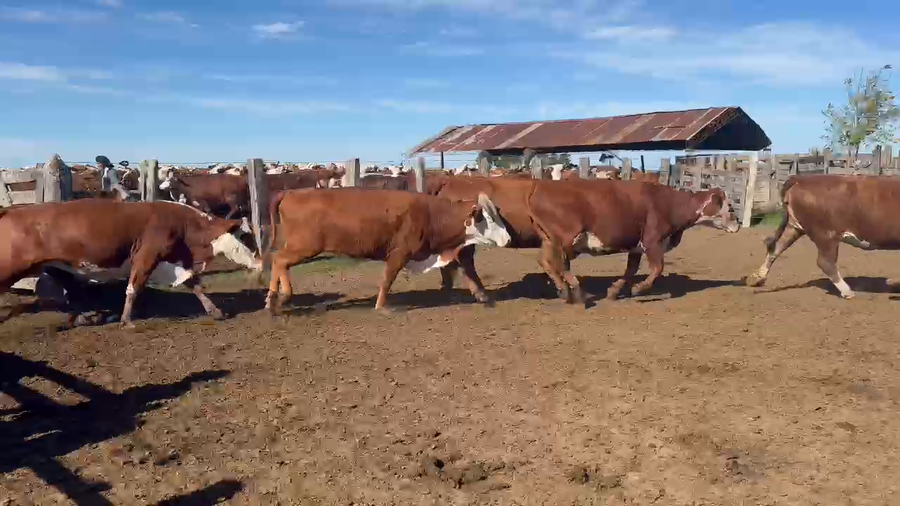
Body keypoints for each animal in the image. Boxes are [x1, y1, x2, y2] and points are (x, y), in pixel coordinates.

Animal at [0, 200, 262, 327]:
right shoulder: (146, 256)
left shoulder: (171, 261)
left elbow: (194, 284)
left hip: (56, 266)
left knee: (73, 293)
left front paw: (215, 311)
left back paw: (80, 318)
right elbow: (133, 288)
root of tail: (9, 211)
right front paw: (126, 321)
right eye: (245, 237)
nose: (260, 262)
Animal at [263, 188, 511, 315]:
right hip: (305, 246)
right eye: (488, 218)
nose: (508, 238)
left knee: (277, 260)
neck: (432, 215)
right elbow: (387, 279)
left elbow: (466, 270)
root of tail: (291, 193)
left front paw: (482, 295)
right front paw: (381, 306)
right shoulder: (399, 253)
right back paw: (282, 296)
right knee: (280, 260)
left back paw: (272, 299)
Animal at [744, 175, 900, 299]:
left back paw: (757, 278)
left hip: (794, 227)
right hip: (826, 235)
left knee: (776, 248)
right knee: (825, 262)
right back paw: (847, 292)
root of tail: (800, 179)